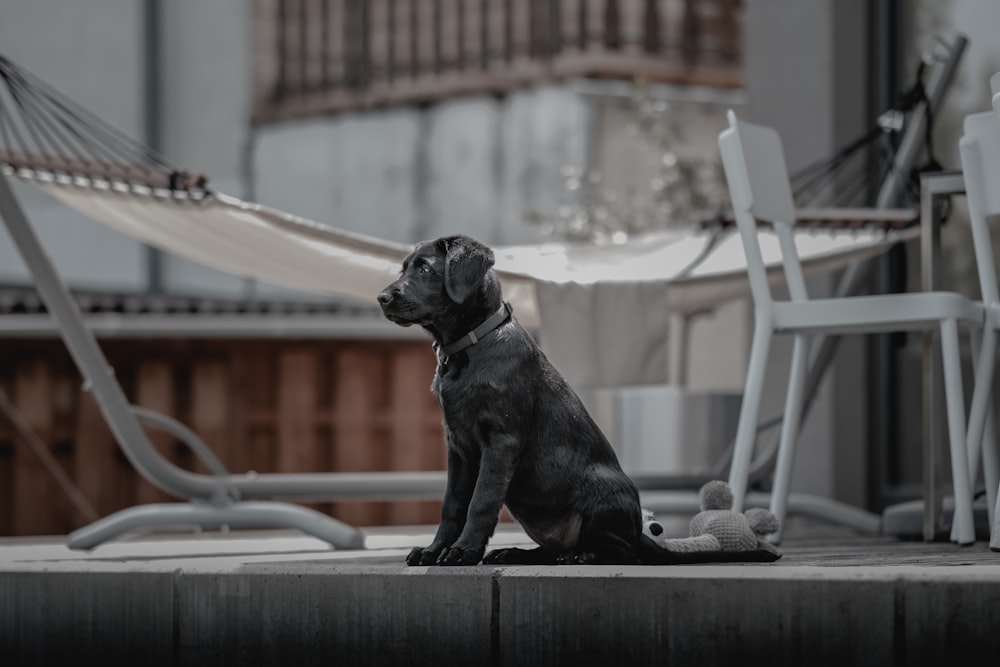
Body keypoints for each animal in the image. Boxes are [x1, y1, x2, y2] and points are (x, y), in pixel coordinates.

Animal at [378, 232, 652, 568]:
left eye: (426, 269)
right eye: (403, 269)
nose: (382, 298)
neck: (469, 347)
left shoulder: (501, 439)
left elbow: (481, 500)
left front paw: (463, 551)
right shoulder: (457, 446)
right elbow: (452, 504)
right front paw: (433, 550)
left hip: (604, 490)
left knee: (624, 552)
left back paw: (582, 555)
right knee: (552, 551)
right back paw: (515, 552)